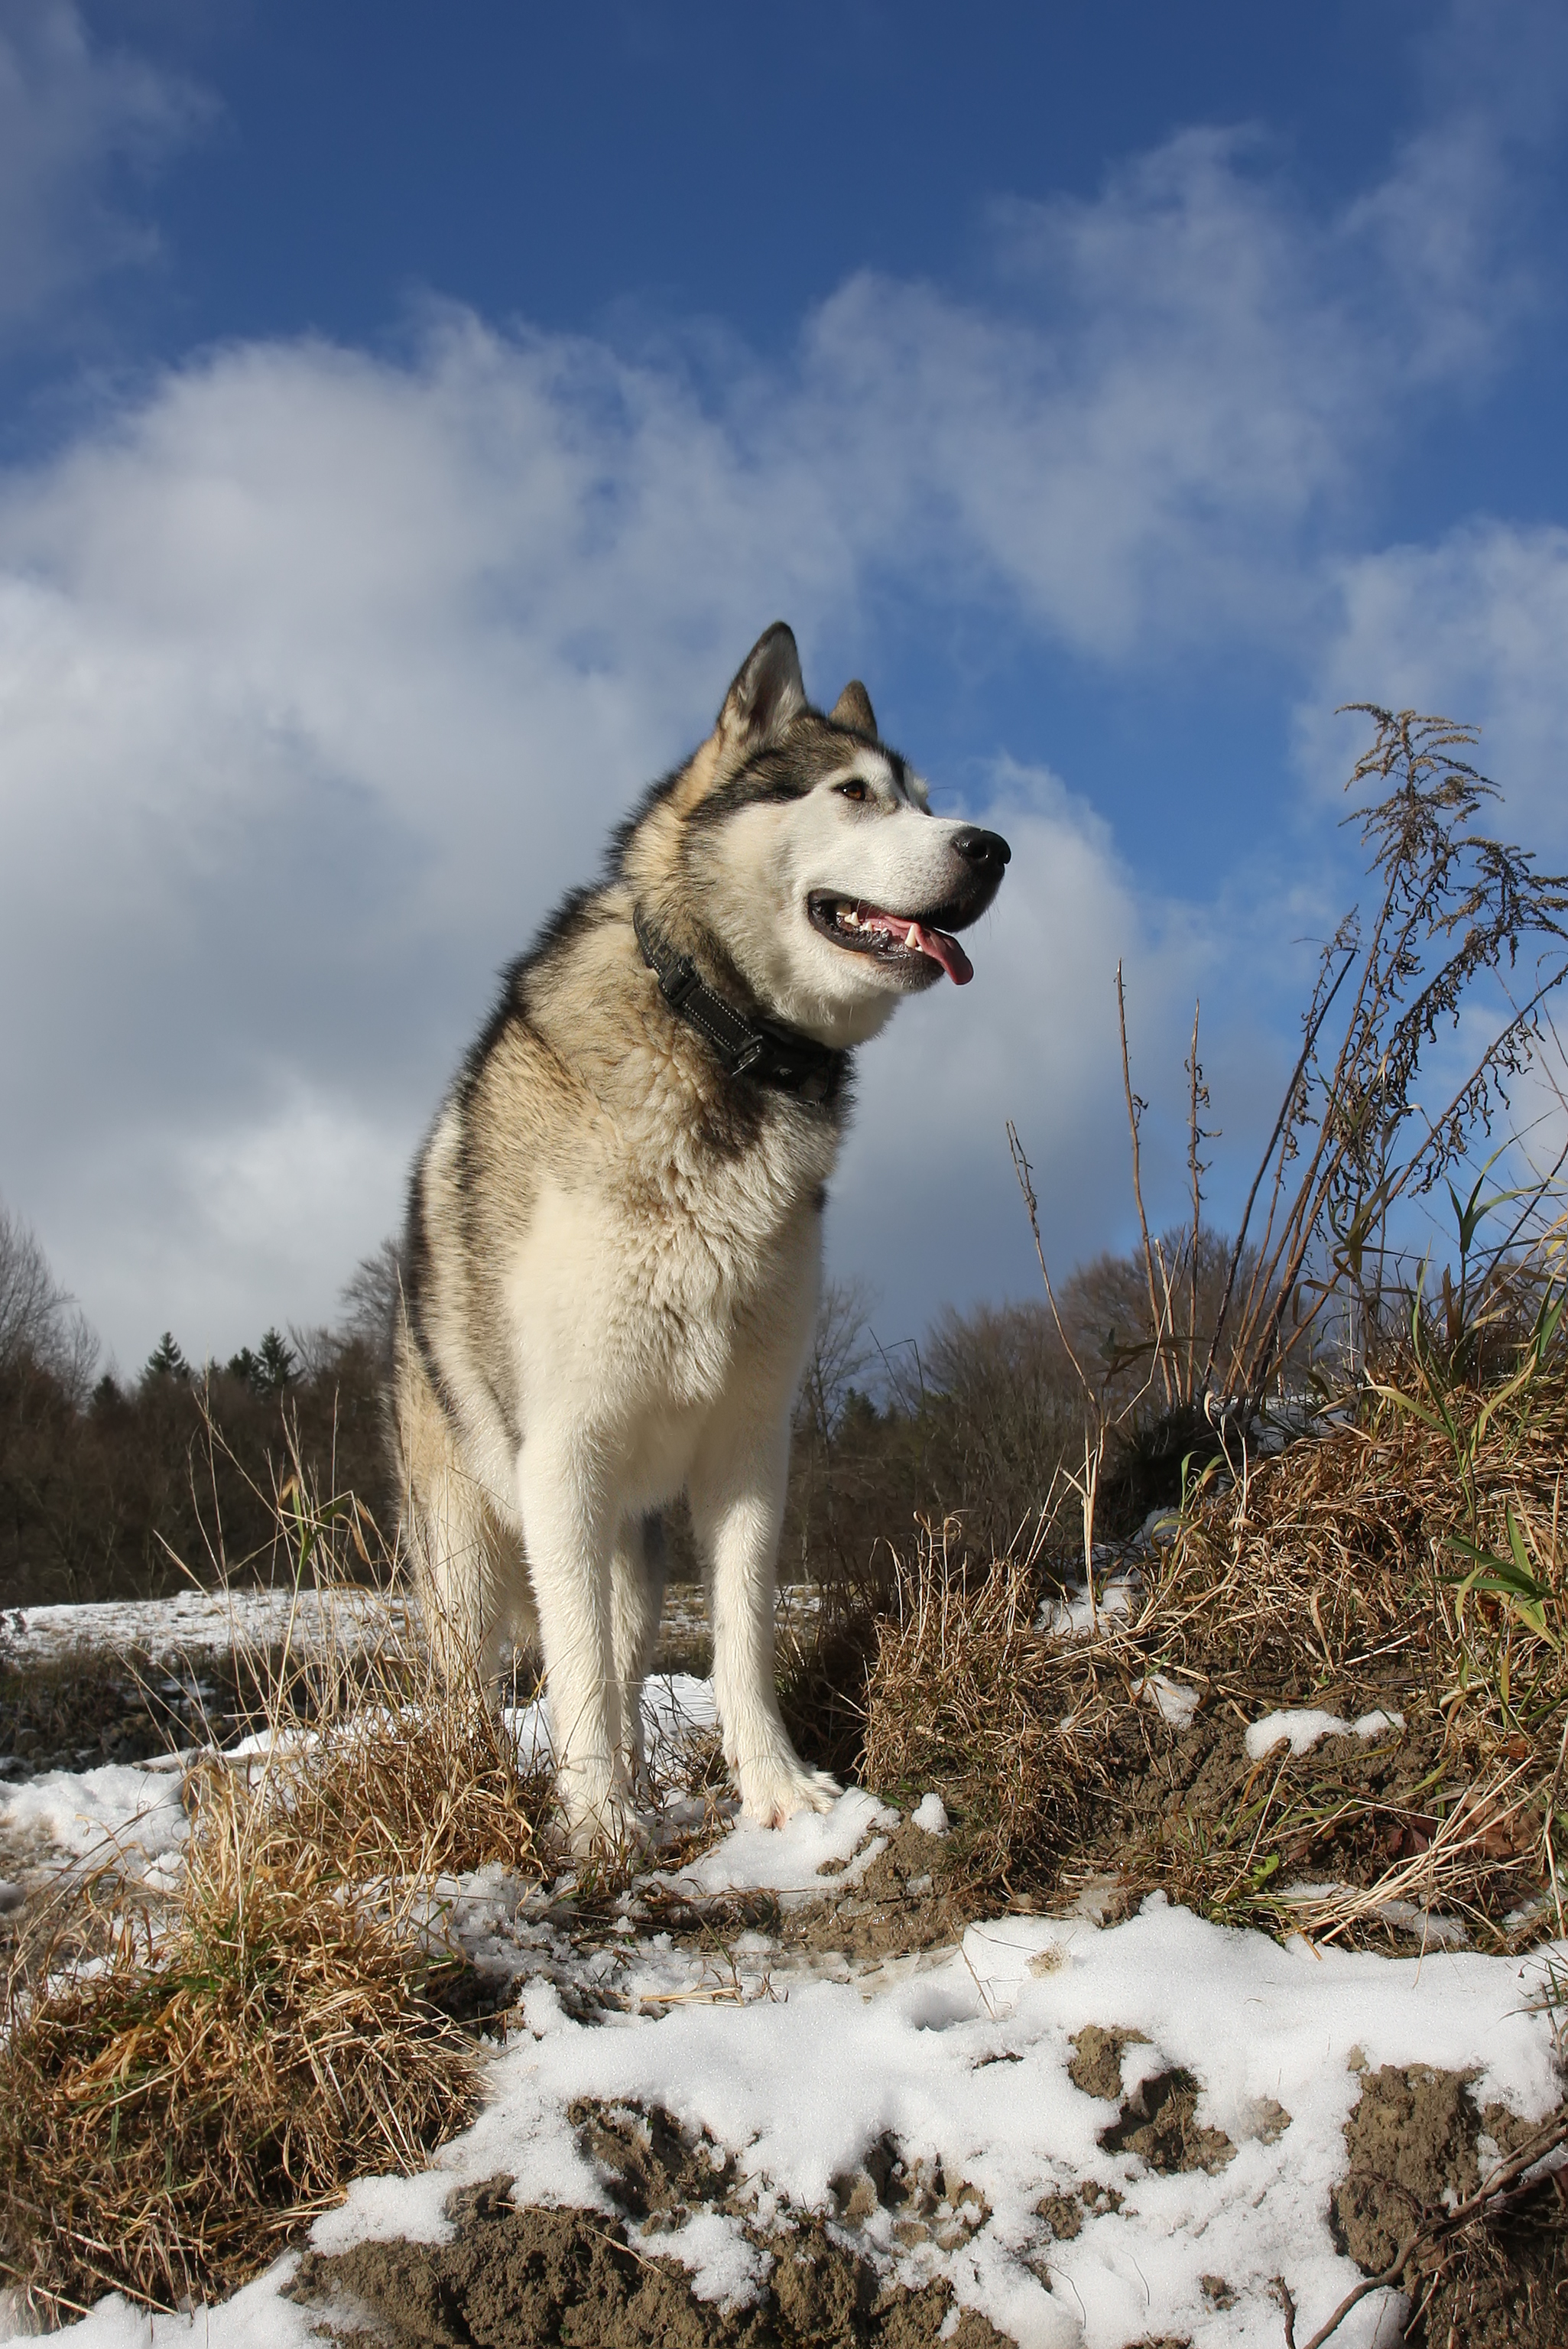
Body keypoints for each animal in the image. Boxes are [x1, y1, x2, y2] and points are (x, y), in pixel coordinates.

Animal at [389, 629, 1005, 1850]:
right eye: (853, 794)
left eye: (925, 799)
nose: (993, 847)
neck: (722, 1044)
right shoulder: (564, 1454)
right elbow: (573, 1668)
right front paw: (599, 1831)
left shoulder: (750, 1445)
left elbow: (739, 1637)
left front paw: (777, 1791)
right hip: (472, 1547)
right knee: (483, 1676)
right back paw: (491, 1791)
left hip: (632, 1543)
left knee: (624, 1651)